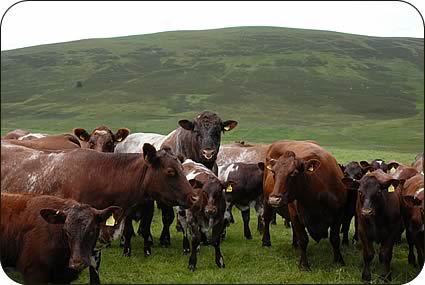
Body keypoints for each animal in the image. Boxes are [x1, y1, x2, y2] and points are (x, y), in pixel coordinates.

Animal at [262, 140, 344, 268]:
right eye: (274, 172)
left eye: (293, 173)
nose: (275, 199)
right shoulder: (295, 215)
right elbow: (303, 239)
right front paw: (304, 264)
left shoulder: (338, 215)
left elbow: (335, 238)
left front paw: (339, 260)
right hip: (266, 202)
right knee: (266, 219)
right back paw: (266, 242)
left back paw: (294, 244)